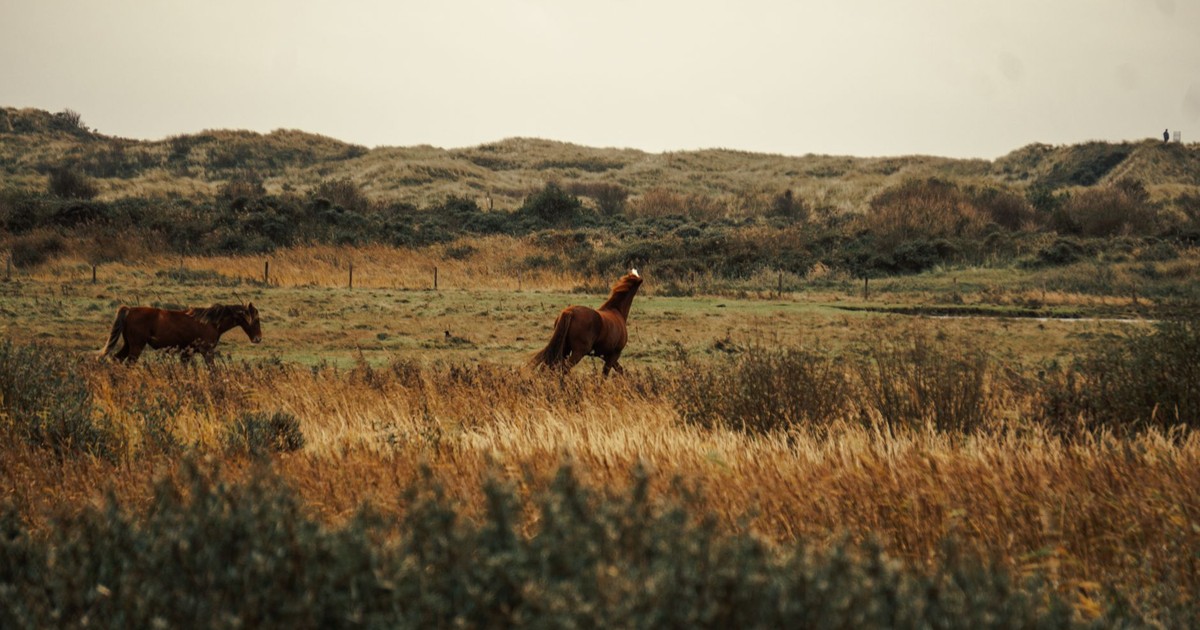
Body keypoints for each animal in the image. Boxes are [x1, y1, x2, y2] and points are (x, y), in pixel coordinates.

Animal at [98, 302, 262, 365]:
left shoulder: (186, 353)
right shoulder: (207, 351)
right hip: (136, 347)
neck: (210, 322)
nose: (258, 339)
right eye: (256, 320)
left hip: (128, 345)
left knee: (117, 359)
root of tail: (129, 310)